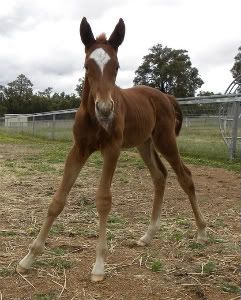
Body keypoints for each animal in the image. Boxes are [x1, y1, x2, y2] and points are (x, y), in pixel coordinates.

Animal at [16, 18, 207, 282]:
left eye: (116, 66)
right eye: (87, 65)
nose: (105, 109)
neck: (94, 119)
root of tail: (166, 96)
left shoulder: (112, 149)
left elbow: (104, 200)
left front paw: (99, 266)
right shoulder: (78, 149)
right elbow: (57, 200)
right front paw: (28, 259)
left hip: (165, 140)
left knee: (185, 176)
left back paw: (201, 232)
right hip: (144, 144)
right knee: (160, 176)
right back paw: (148, 235)